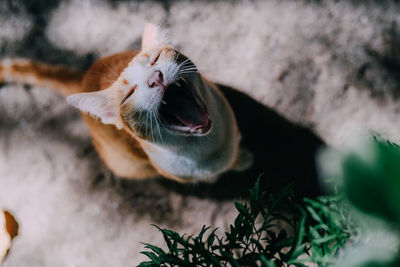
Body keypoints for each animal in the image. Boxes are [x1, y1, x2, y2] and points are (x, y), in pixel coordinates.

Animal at [0, 24, 250, 183]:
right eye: (130, 93)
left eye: (155, 59)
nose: (155, 78)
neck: (207, 146)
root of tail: (84, 78)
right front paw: (236, 164)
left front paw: (241, 158)